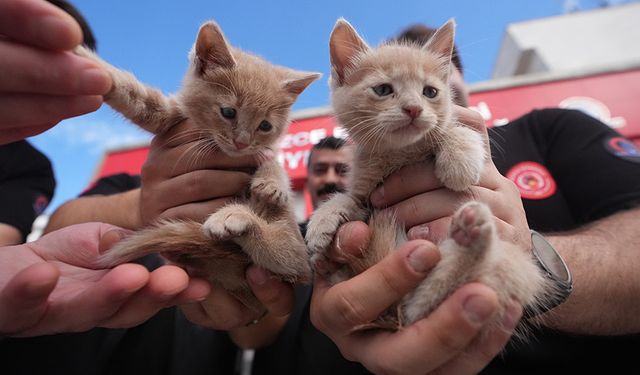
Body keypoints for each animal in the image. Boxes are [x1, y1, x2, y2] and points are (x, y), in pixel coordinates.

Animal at [77, 20, 320, 314]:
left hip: (294, 249)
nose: (241, 143)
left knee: (288, 256)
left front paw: (272, 185)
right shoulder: (171, 116)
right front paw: (92, 64)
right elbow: (137, 98)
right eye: (228, 112)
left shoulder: (263, 151)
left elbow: (272, 160)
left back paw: (233, 217)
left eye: (265, 126)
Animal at [306, 19, 552, 334]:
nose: (413, 109)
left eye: (430, 92)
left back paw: (472, 235)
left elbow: (454, 129)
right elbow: (348, 198)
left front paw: (459, 159)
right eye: (383, 89)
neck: (400, 153)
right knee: (417, 309)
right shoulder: (366, 196)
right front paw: (322, 222)